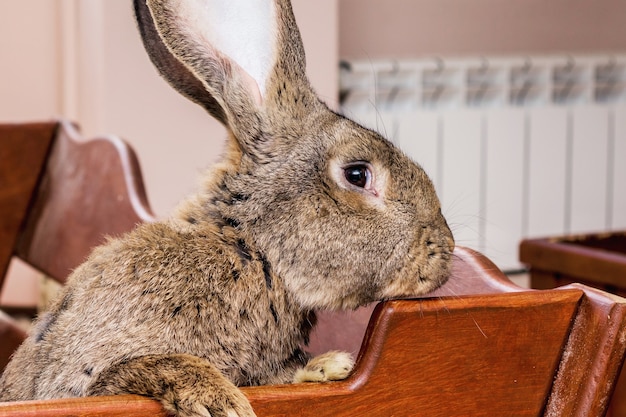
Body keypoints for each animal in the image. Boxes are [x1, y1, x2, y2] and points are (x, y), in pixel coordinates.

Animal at [0, 0, 454, 416]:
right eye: (358, 174)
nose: (446, 251)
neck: (250, 248)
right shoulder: (84, 380)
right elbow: (140, 367)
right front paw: (220, 400)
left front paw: (327, 368)